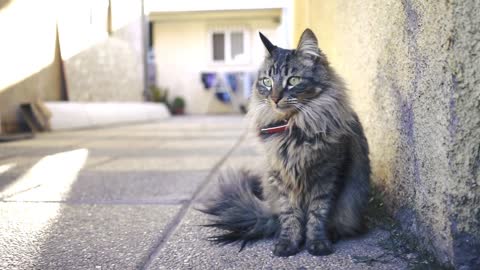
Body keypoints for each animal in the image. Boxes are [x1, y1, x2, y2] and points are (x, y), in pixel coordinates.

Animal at [200, 28, 372, 256]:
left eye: (293, 80)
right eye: (267, 81)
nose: (274, 98)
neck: (293, 129)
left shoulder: (328, 174)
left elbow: (318, 214)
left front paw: (317, 243)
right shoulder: (281, 177)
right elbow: (290, 215)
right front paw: (288, 243)